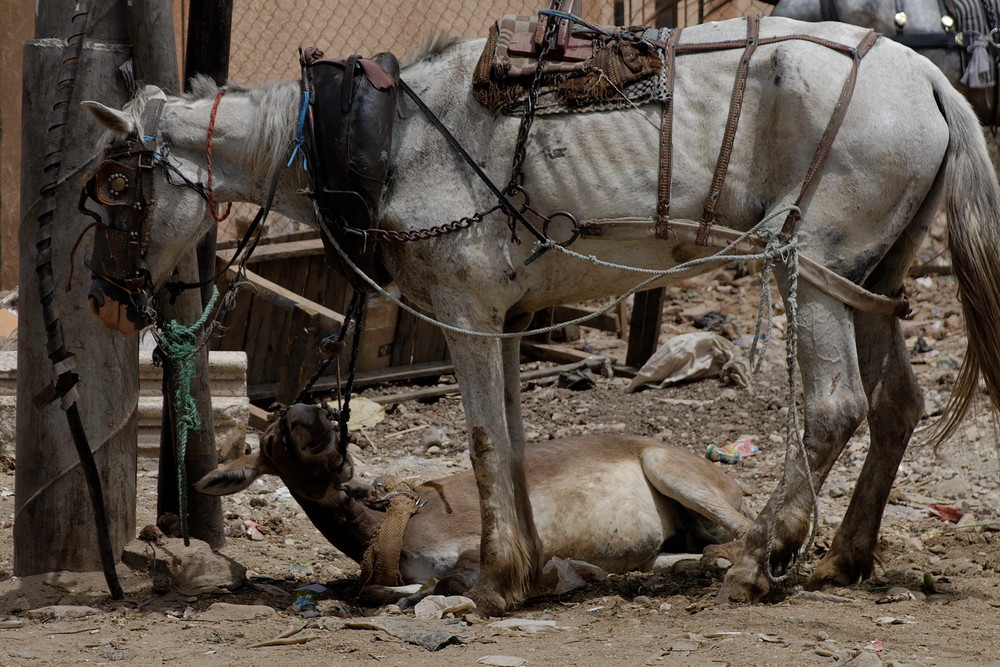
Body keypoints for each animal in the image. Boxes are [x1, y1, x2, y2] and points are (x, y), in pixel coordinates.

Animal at [82, 15, 1000, 612]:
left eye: (117, 184)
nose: (103, 300)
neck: (387, 136)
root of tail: (929, 76)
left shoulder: (464, 309)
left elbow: (484, 440)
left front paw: (496, 582)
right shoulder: (513, 317)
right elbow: (518, 443)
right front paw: (529, 570)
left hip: (808, 265)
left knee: (834, 406)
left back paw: (763, 554)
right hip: (869, 274)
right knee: (896, 404)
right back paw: (844, 555)